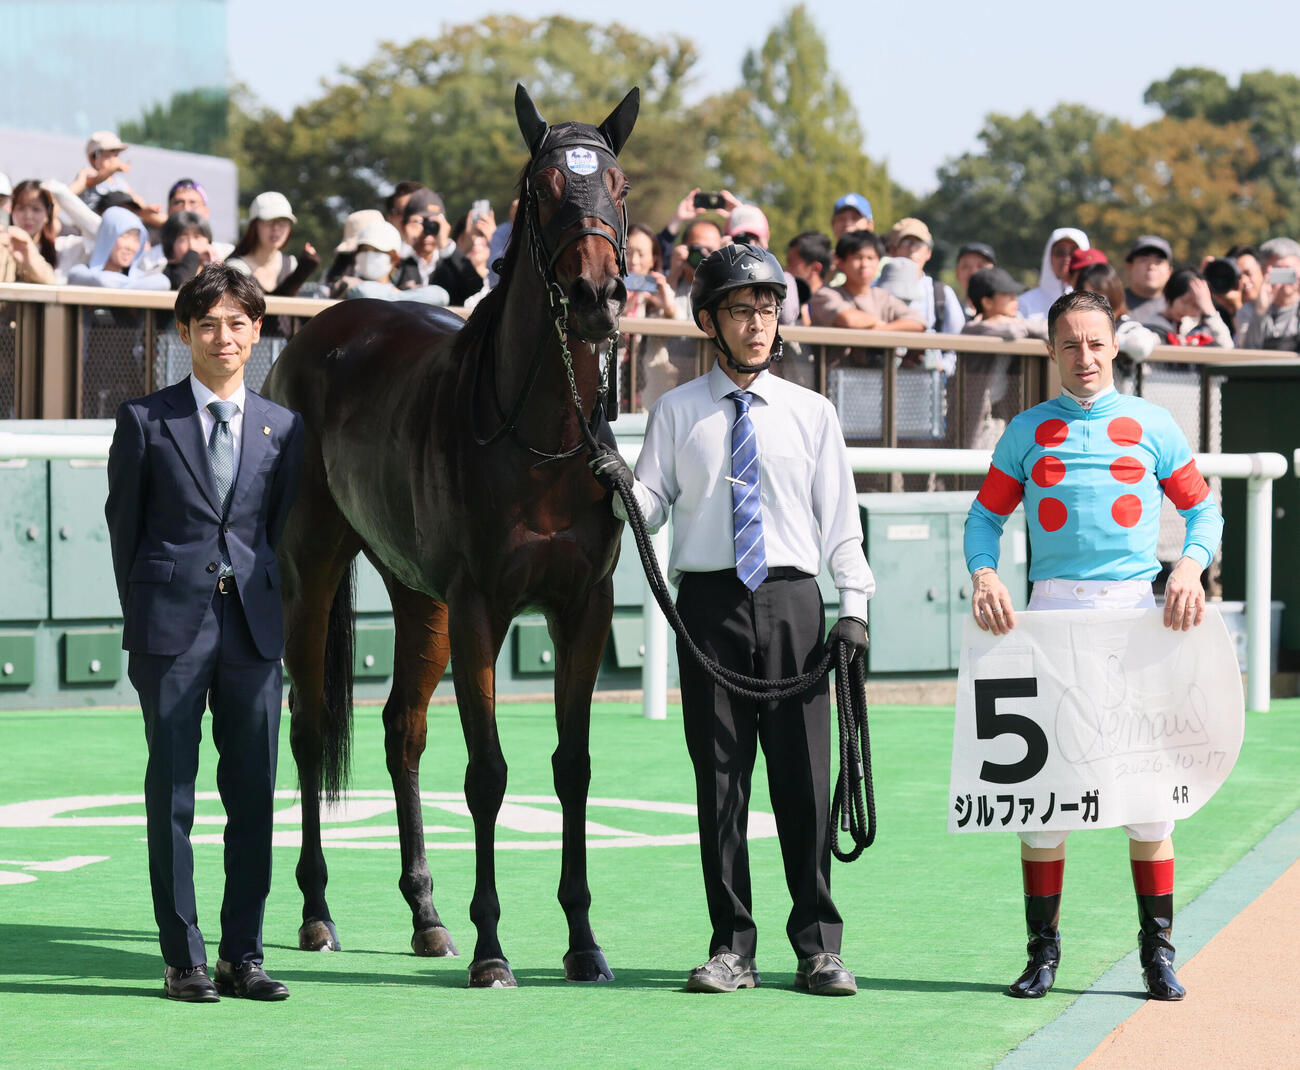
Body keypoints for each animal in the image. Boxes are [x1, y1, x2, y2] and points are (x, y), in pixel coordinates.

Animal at [262, 84, 638, 988]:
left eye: (618, 184)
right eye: (543, 186)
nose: (598, 296)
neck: (542, 439)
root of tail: (314, 337)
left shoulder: (585, 606)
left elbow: (571, 768)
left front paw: (583, 943)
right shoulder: (479, 609)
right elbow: (488, 774)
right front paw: (492, 950)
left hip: (416, 595)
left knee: (403, 729)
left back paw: (426, 916)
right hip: (311, 570)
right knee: (309, 725)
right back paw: (318, 911)